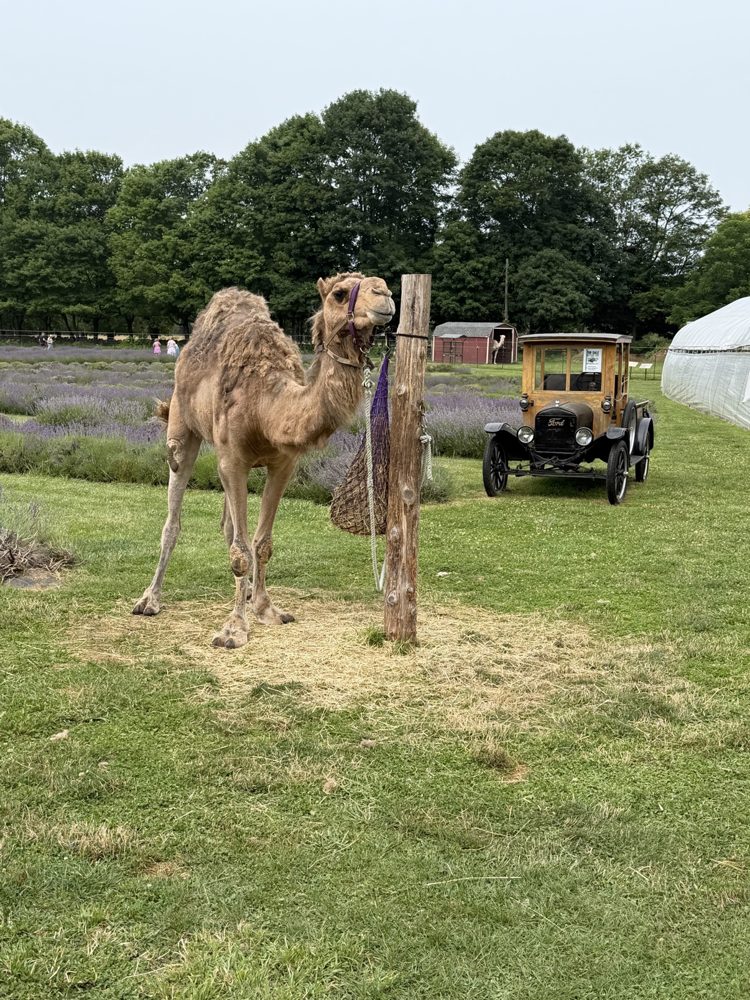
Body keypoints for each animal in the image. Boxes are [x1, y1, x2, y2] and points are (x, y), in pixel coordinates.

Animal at [133, 273, 395, 649]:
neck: (266, 405)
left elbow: (261, 543)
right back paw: (149, 599)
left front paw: (265, 608)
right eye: (340, 293)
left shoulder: (282, 464)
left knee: (227, 526)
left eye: (383, 284)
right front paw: (233, 629)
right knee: (173, 518)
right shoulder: (232, 460)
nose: (384, 296)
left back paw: (240, 594)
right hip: (183, 427)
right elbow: (241, 551)